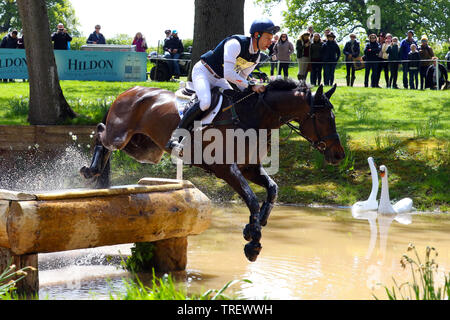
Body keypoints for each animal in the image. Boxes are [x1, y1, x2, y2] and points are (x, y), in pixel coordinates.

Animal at [80, 79, 344, 262]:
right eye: (323, 118)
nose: (339, 155)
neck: (253, 117)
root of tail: (130, 90)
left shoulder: (250, 168)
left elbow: (272, 190)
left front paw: (254, 226)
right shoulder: (226, 169)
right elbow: (251, 199)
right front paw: (253, 245)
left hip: (145, 149)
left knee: (109, 141)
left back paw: (97, 172)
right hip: (121, 135)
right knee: (101, 131)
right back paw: (90, 170)